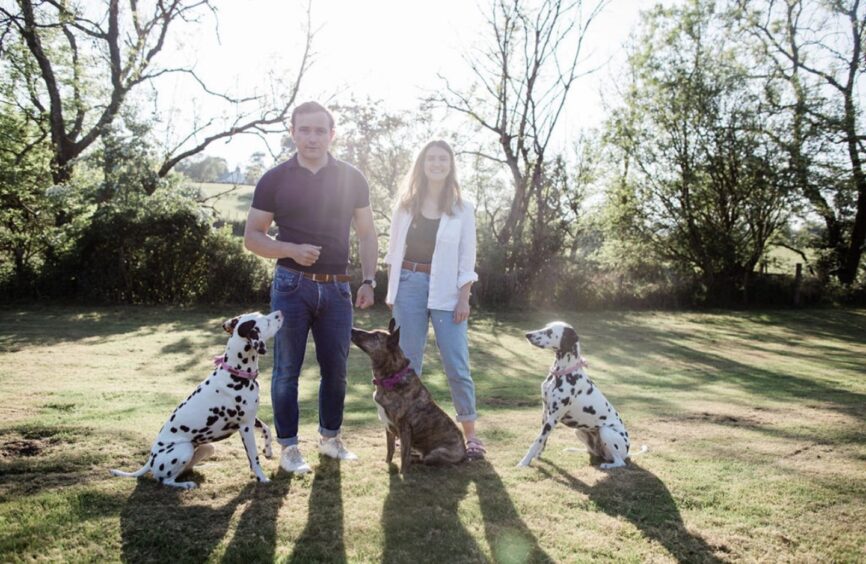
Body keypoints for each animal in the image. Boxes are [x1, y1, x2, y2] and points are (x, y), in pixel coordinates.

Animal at [109, 310, 282, 486]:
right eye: (267, 321)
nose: (279, 312)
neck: (236, 373)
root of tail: (150, 460)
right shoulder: (245, 426)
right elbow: (254, 458)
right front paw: (262, 477)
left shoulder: (252, 418)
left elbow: (267, 429)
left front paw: (268, 451)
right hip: (185, 449)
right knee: (166, 480)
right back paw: (186, 484)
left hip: (207, 447)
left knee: (185, 469)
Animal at [350, 320, 466, 474]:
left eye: (374, 336)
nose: (351, 329)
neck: (392, 377)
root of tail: (465, 453)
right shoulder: (389, 429)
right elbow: (390, 449)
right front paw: (387, 464)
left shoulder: (404, 428)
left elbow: (403, 455)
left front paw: (403, 473)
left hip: (435, 454)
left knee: (426, 460)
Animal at [512, 320, 640, 470]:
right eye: (545, 326)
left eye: (550, 332)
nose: (527, 334)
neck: (561, 373)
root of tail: (628, 451)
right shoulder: (545, 414)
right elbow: (543, 440)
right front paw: (537, 456)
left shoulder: (553, 418)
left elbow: (536, 441)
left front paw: (524, 462)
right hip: (578, 431)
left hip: (605, 431)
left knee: (620, 462)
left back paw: (607, 465)